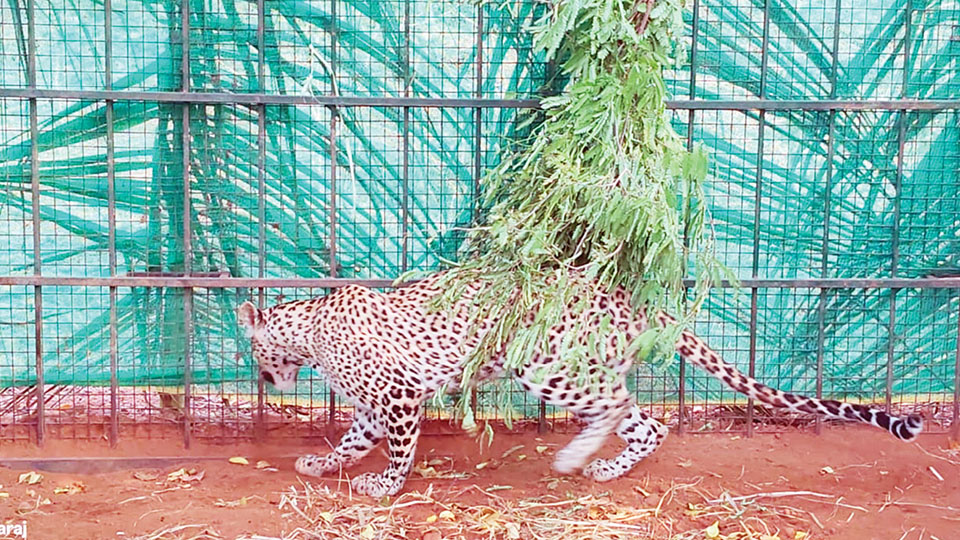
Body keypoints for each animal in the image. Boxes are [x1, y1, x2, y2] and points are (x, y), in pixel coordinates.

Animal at [237, 272, 923, 498]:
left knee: (626, 411)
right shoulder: (376, 406)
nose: (263, 377)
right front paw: (323, 465)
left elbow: (398, 451)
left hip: (549, 366)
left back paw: (574, 459)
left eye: (252, 350)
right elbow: (353, 439)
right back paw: (602, 466)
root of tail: (630, 299)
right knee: (643, 421)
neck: (308, 328)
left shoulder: (401, 397)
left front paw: (383, 485)